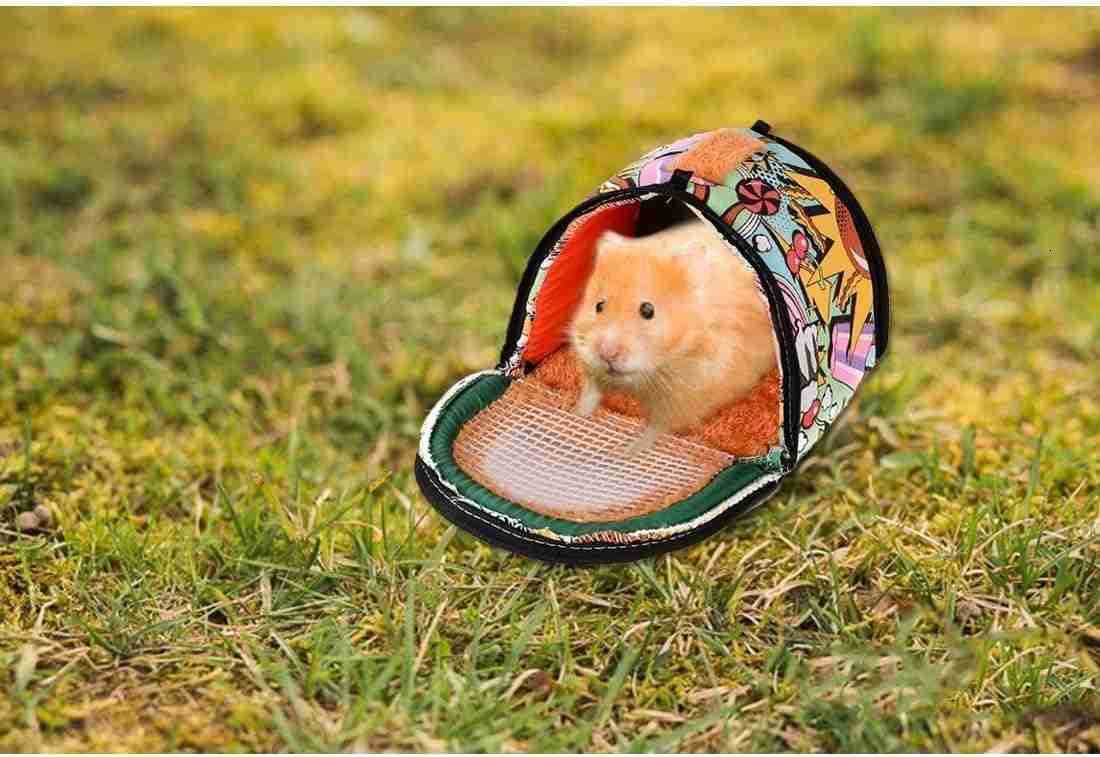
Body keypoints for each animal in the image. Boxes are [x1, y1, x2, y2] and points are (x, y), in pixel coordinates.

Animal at [569, 220, 776, 454]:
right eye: (599, 305)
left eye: (648, 310)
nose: (607, 353)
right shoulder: (591, 367)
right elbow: (591, 392)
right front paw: (576, 413)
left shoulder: (685, 397)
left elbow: (657, 426)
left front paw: (628, 451)